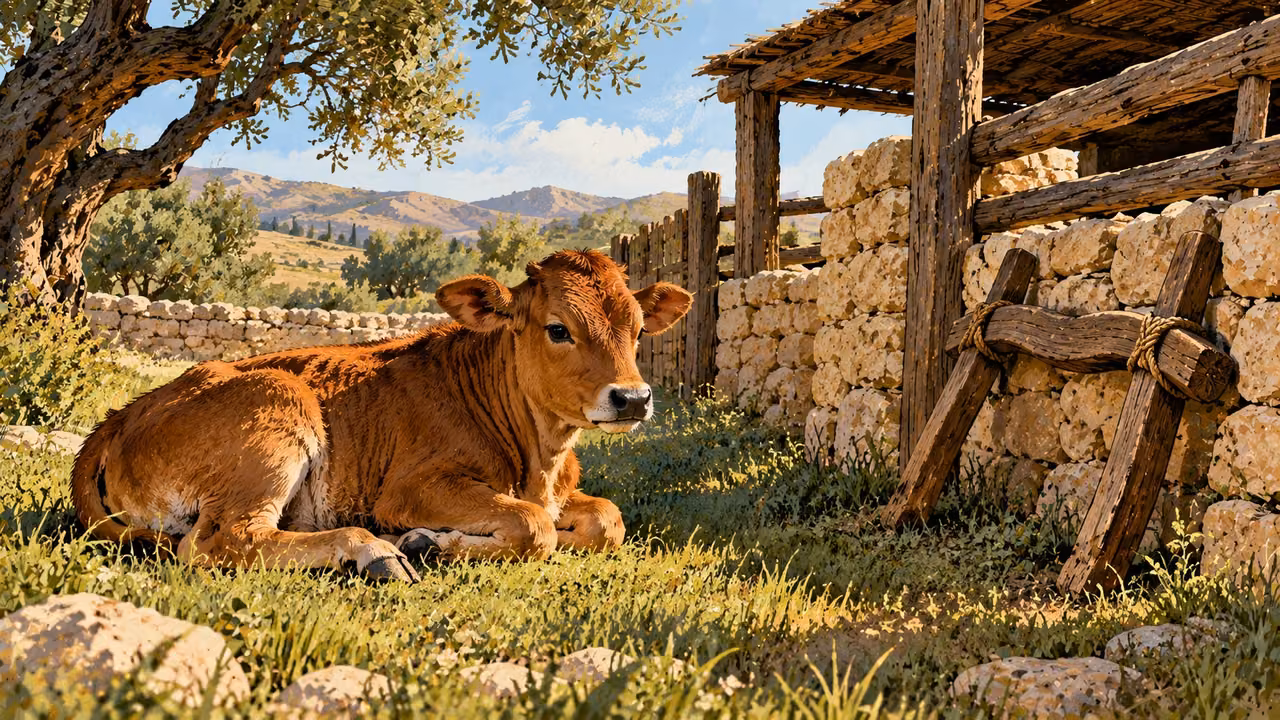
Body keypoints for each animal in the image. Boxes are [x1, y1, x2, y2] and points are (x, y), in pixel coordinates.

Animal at [71, 249, 692, 582]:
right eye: (558, 328)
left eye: (639, 330)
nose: (632, 399)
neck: (539, 459)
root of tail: (122, 415)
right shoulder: (412, 488)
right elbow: (533, 527)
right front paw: (426, 542)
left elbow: (607, 519)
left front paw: (434, 540)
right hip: (277, 415)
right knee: (222, 542)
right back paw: (375, 551)